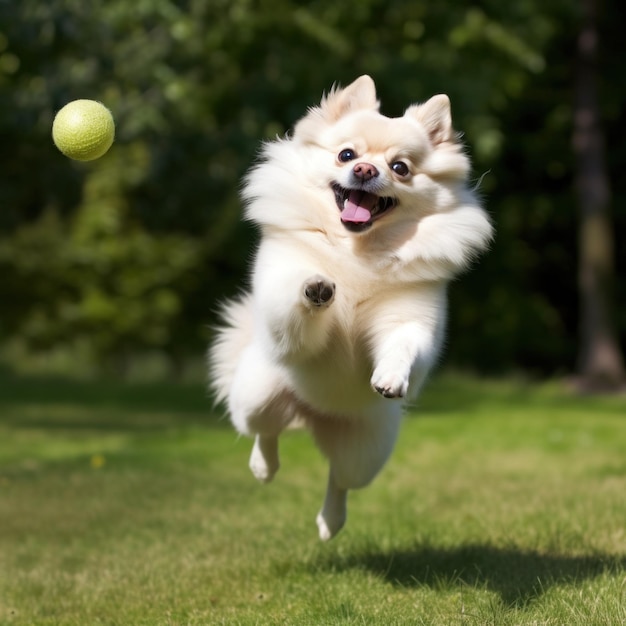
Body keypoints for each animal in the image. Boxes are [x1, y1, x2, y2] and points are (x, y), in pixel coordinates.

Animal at [210, 77, 492, 536]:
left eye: (400, 167)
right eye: (347, 154)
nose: (364, 170)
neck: (358, 251)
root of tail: (314, 415)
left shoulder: (409, 320)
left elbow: (403, 344)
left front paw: (391, 376)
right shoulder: (283, 310)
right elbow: (294, 302)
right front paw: (315, 287)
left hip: (366, 450)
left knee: (339, 479)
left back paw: (330, 521)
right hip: (257, 395)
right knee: (265, 433)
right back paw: (263, 468)